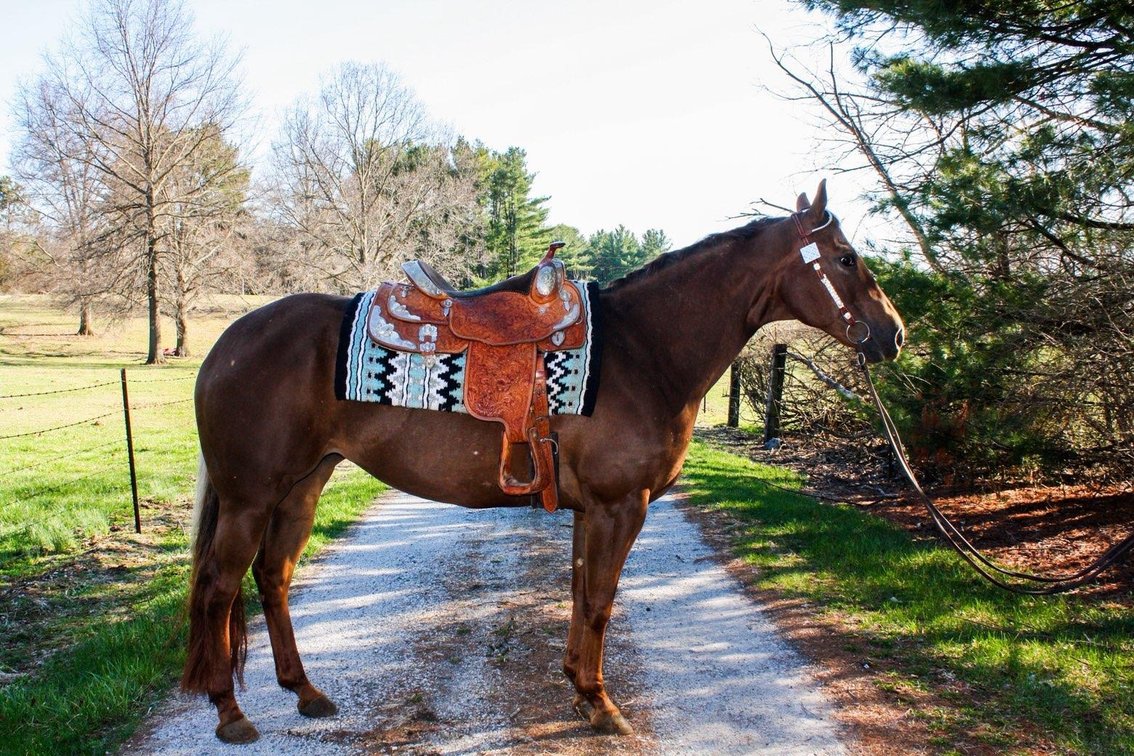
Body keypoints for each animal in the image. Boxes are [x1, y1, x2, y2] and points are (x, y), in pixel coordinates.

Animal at [182, 181, 905, 743]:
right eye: (845, 258)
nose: (894, 334)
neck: (644, 351)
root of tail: (228, 343)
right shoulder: (620, 507)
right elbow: (601, 603)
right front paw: (602, 705)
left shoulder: (592, 511)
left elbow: (583, 594)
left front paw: (579, 688)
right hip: (250, 496)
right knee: (220, 587)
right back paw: (230, 712)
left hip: (302, 487)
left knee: (272, 578)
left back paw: (304, 692)